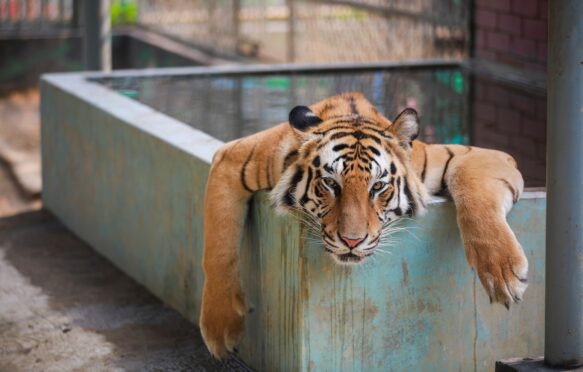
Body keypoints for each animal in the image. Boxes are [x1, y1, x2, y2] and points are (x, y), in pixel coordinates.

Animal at [202, 91, 528, 358]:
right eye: (330, 184)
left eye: (378, 186)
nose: (352, 241)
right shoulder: (232, 157)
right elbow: (218, 247)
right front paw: (220, 329)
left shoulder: (483, 156)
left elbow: (475, 192)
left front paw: (502, 272)